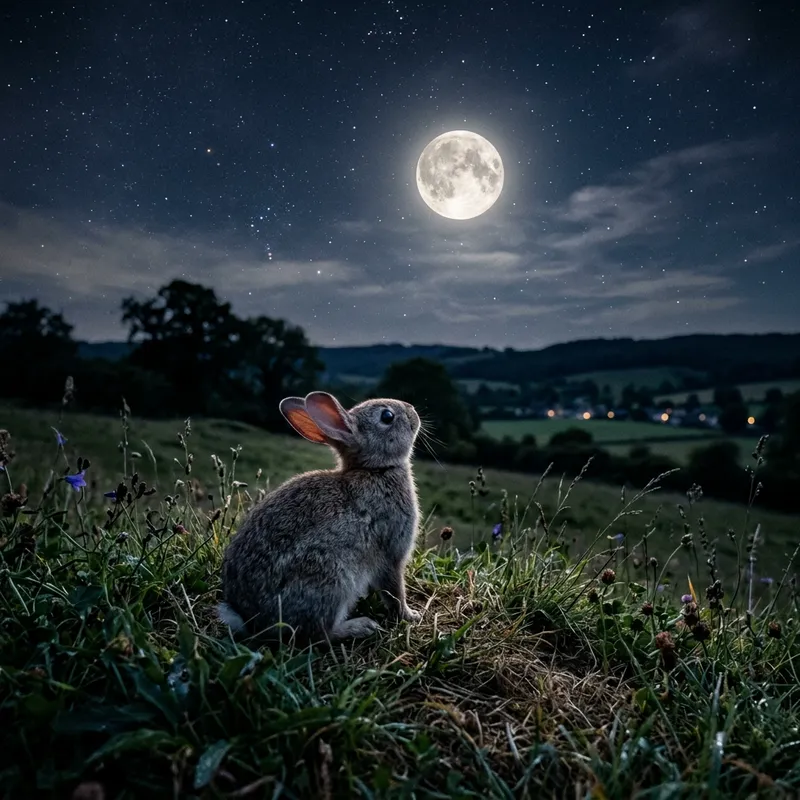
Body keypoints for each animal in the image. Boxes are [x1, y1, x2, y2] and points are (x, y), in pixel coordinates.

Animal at [217, 390, 423, 643]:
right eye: (387, 416)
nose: (412, 409)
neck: (376, 470)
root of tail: (251, 620)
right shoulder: (392, 552)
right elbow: (394, 591)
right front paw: (410, 615)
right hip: (331, 579)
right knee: (319, 633)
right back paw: (360, 626)